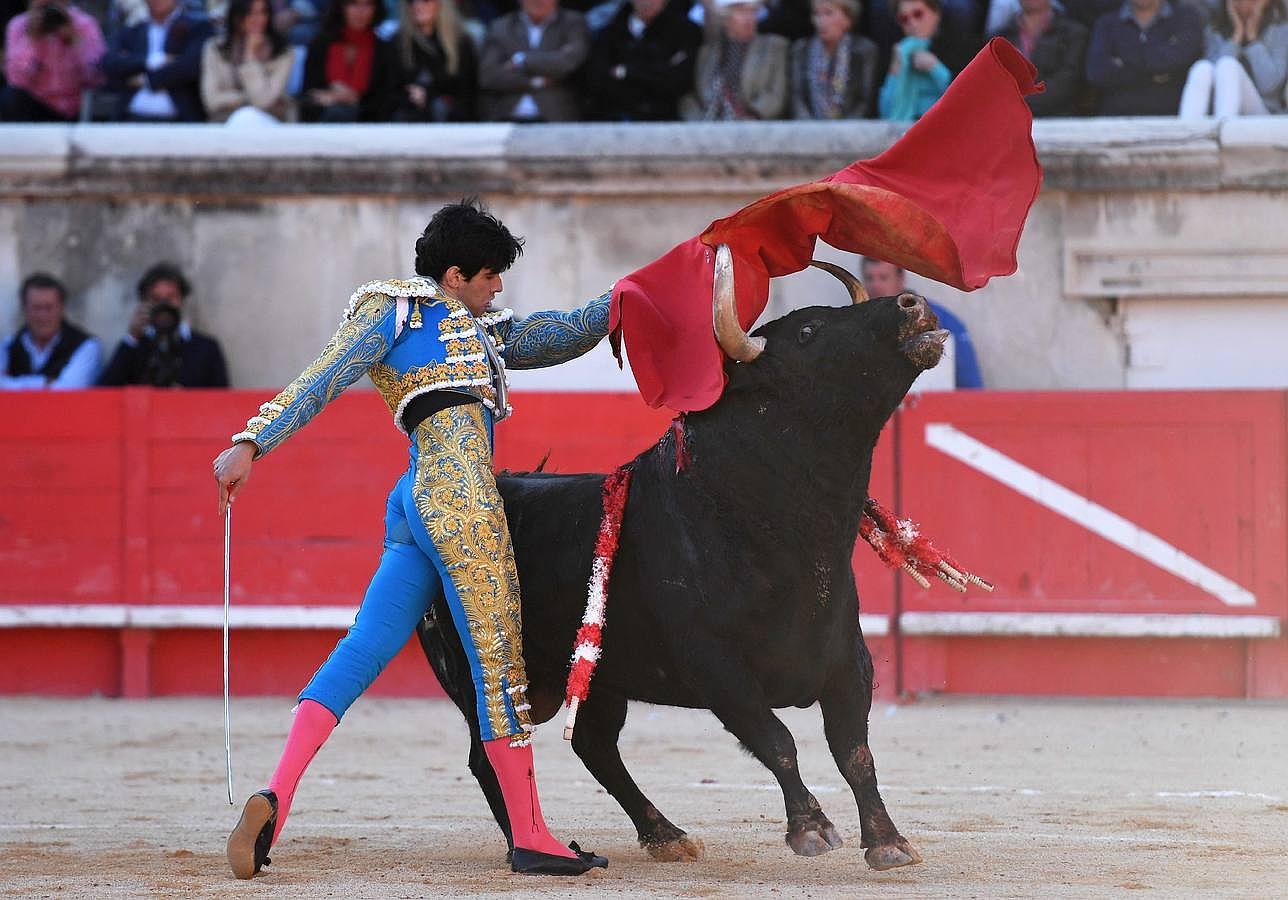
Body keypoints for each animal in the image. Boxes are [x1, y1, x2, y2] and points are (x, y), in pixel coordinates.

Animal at [417, 292, 942, 870]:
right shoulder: (718, 669)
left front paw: (888, 841)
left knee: (594, 746)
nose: (912, 303)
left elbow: (855, 752)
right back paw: (528, 848)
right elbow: (777, 740)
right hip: (480, 677)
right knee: (491, 752)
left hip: (600, 680)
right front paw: (812, 828)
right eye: (808, 331)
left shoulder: (847, 659)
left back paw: (664, 834)